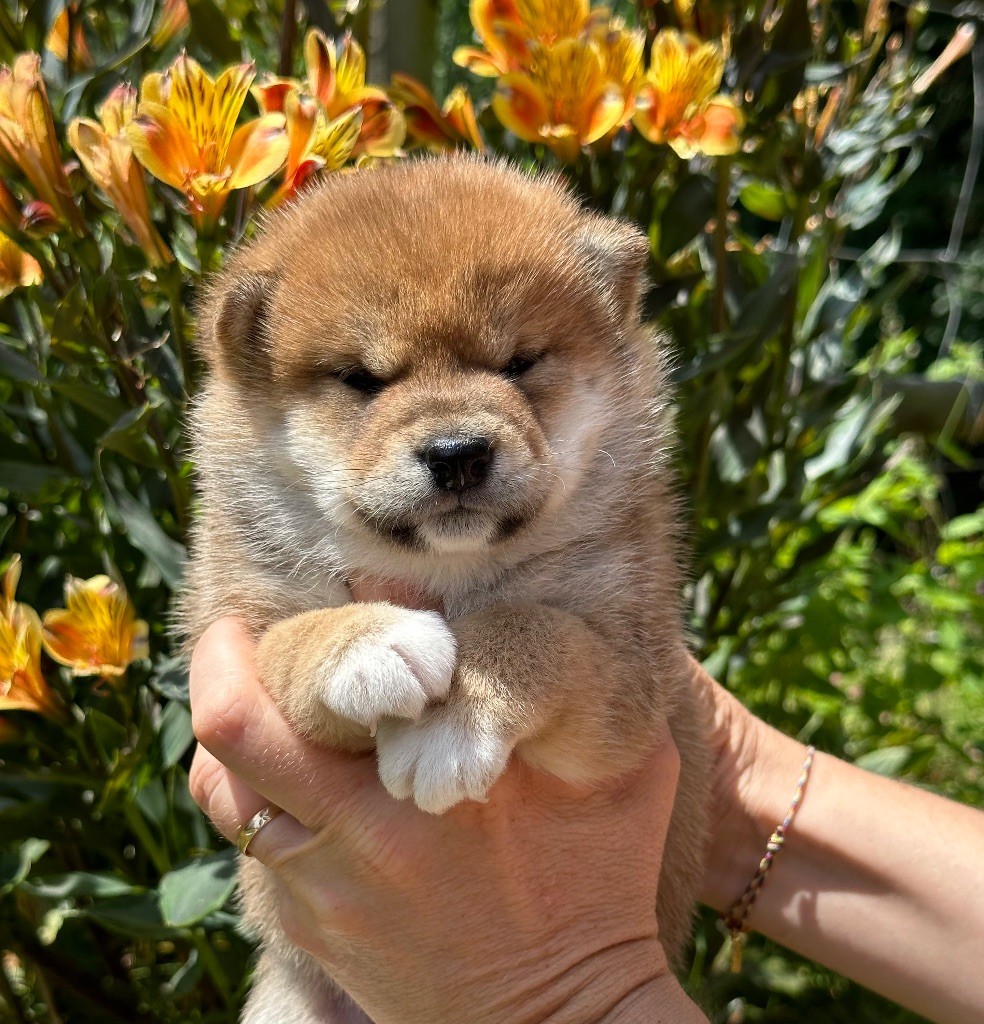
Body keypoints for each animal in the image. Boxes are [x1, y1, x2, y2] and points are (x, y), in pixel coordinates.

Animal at [182, 155, 711, 1023]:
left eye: (518, 363)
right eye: (362, 380)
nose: (458, 452)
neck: (446, 574)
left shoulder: (634, 677)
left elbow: (532, 628)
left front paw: (454, 720)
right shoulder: (235, 623)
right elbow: (288, 641)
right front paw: (365, 642)